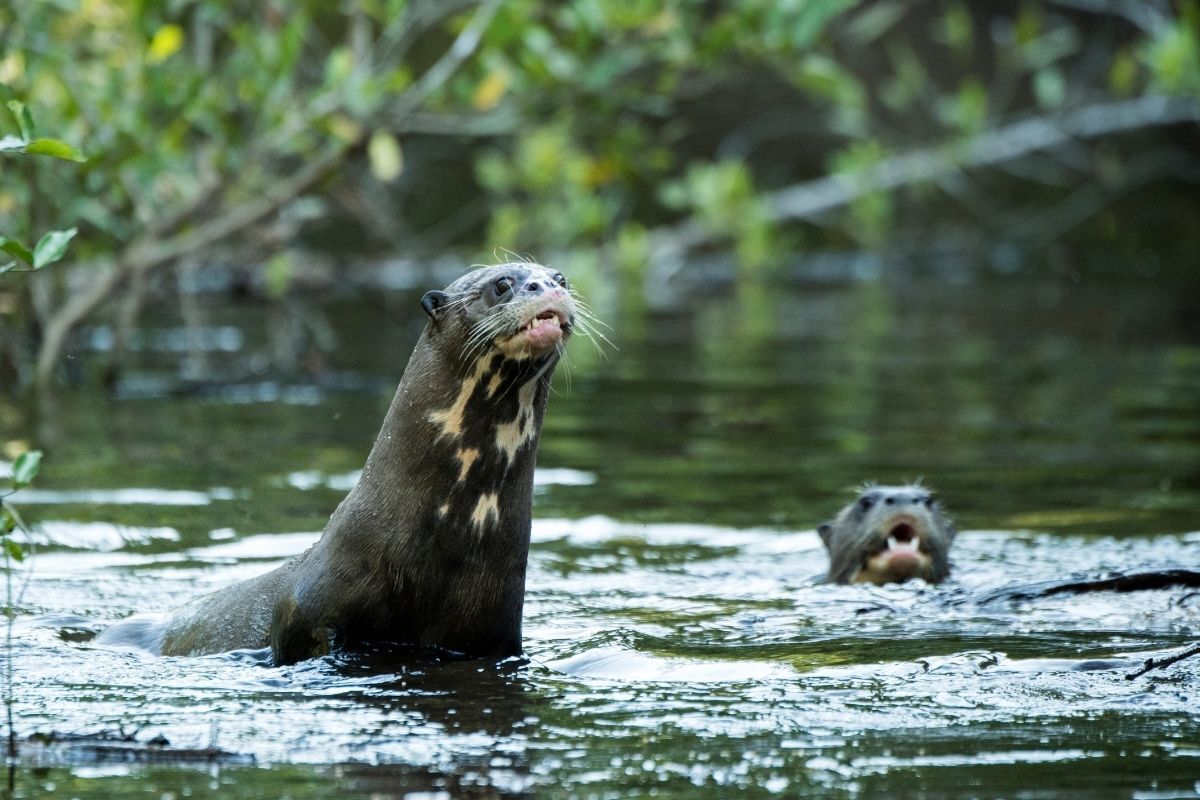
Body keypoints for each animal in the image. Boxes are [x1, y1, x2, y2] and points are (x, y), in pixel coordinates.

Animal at [98, 261, 576, 662]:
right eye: (502, 284)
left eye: (560, 277)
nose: (547, 286)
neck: (447, 537)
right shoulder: (307, 605)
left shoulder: (494, 631)